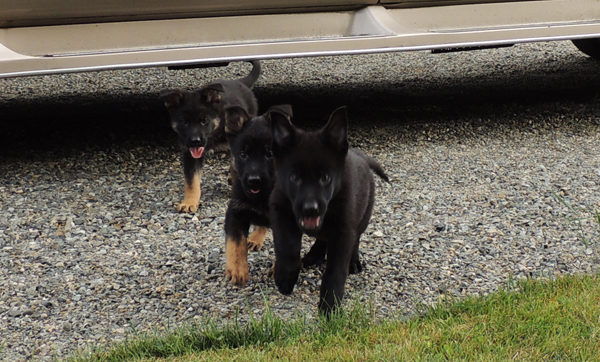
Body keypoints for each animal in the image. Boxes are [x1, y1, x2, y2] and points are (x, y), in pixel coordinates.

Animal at [161, 59, 262, 212]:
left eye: (204, 120)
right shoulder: (190, 153)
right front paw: (189, 202)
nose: (195, 141)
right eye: (185, 122)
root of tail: (240, 82)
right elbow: (191, 181)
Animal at [223, 104, 292, 286]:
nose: (254, 181)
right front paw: (237, 269)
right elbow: (235, 242)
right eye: (243, 154)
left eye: (269, 154)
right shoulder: (236, 211)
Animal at [268, 106, 390, 316]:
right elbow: (287, 248)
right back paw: (314, 255)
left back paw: (353, 261)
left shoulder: (344, 229)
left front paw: (330, 305)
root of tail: (361, 156)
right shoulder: (281, 212)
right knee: (322, 238)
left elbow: (336, 270)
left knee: (355, 239)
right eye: (294, 178)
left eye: (325, 178)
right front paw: (285, 278)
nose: (310, 209)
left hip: (363, 216)